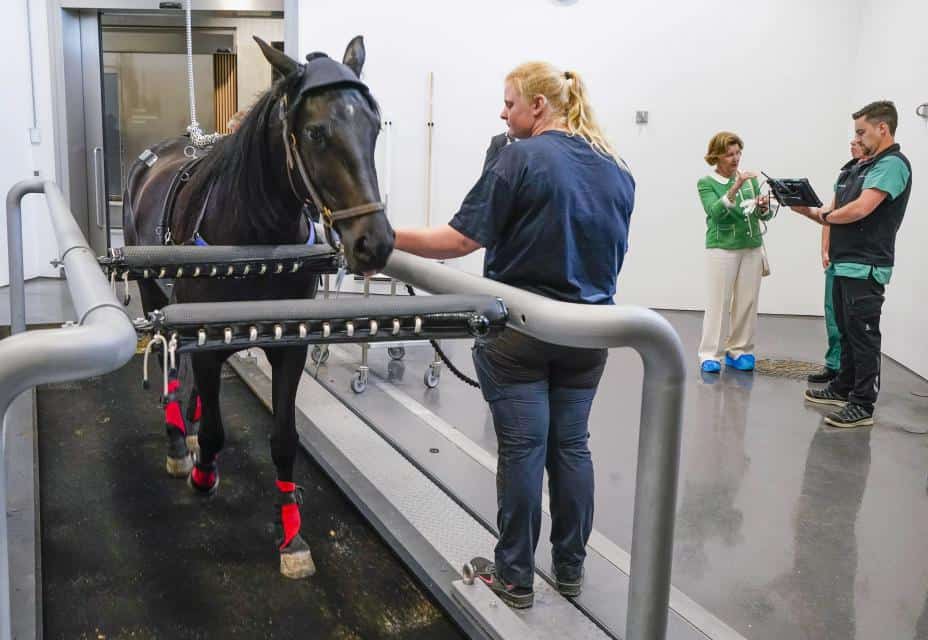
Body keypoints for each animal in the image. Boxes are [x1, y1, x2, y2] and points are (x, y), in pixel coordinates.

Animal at [122, 36, 394, 578]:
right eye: (315, 132)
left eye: (374, 126)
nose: (374, 243)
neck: (254, 238)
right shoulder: (205, 340)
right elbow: (215, 431)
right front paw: (203, 472)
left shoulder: (289, 344)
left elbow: (285, 438)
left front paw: (291, 533)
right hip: (151, 290)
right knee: (173, 372)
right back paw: (177, 438)